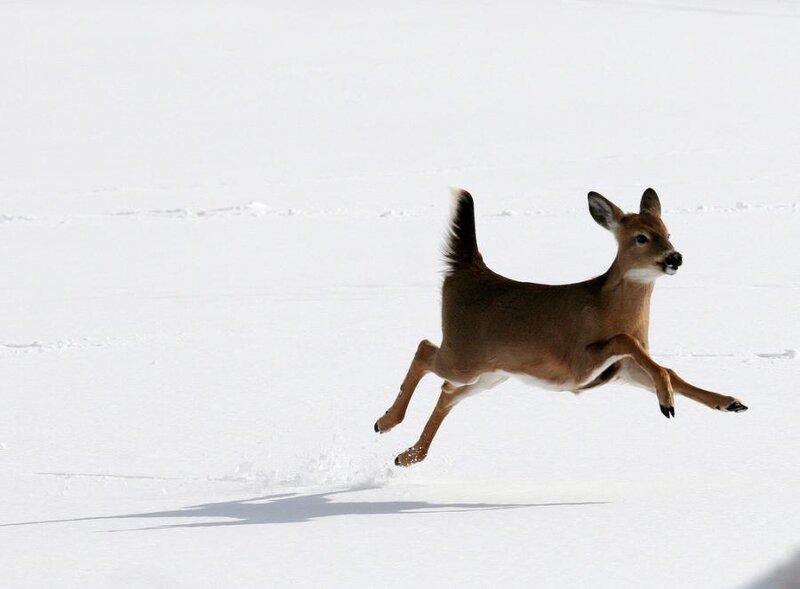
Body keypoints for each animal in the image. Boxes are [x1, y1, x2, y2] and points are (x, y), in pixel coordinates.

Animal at [375, 188, 748, 467]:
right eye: (642, 237)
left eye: (668, 233)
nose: (675, 257)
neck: (607, 308)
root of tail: (467, 271)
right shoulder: (576, 363)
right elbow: (627, 342)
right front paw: (667, 402)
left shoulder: (622, 371)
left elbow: (670, 370)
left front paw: (729, 402)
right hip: (465, 355)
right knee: (425, 349)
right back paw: (386, 422)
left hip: (490, 373)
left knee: (447, 392)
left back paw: (408, 455)